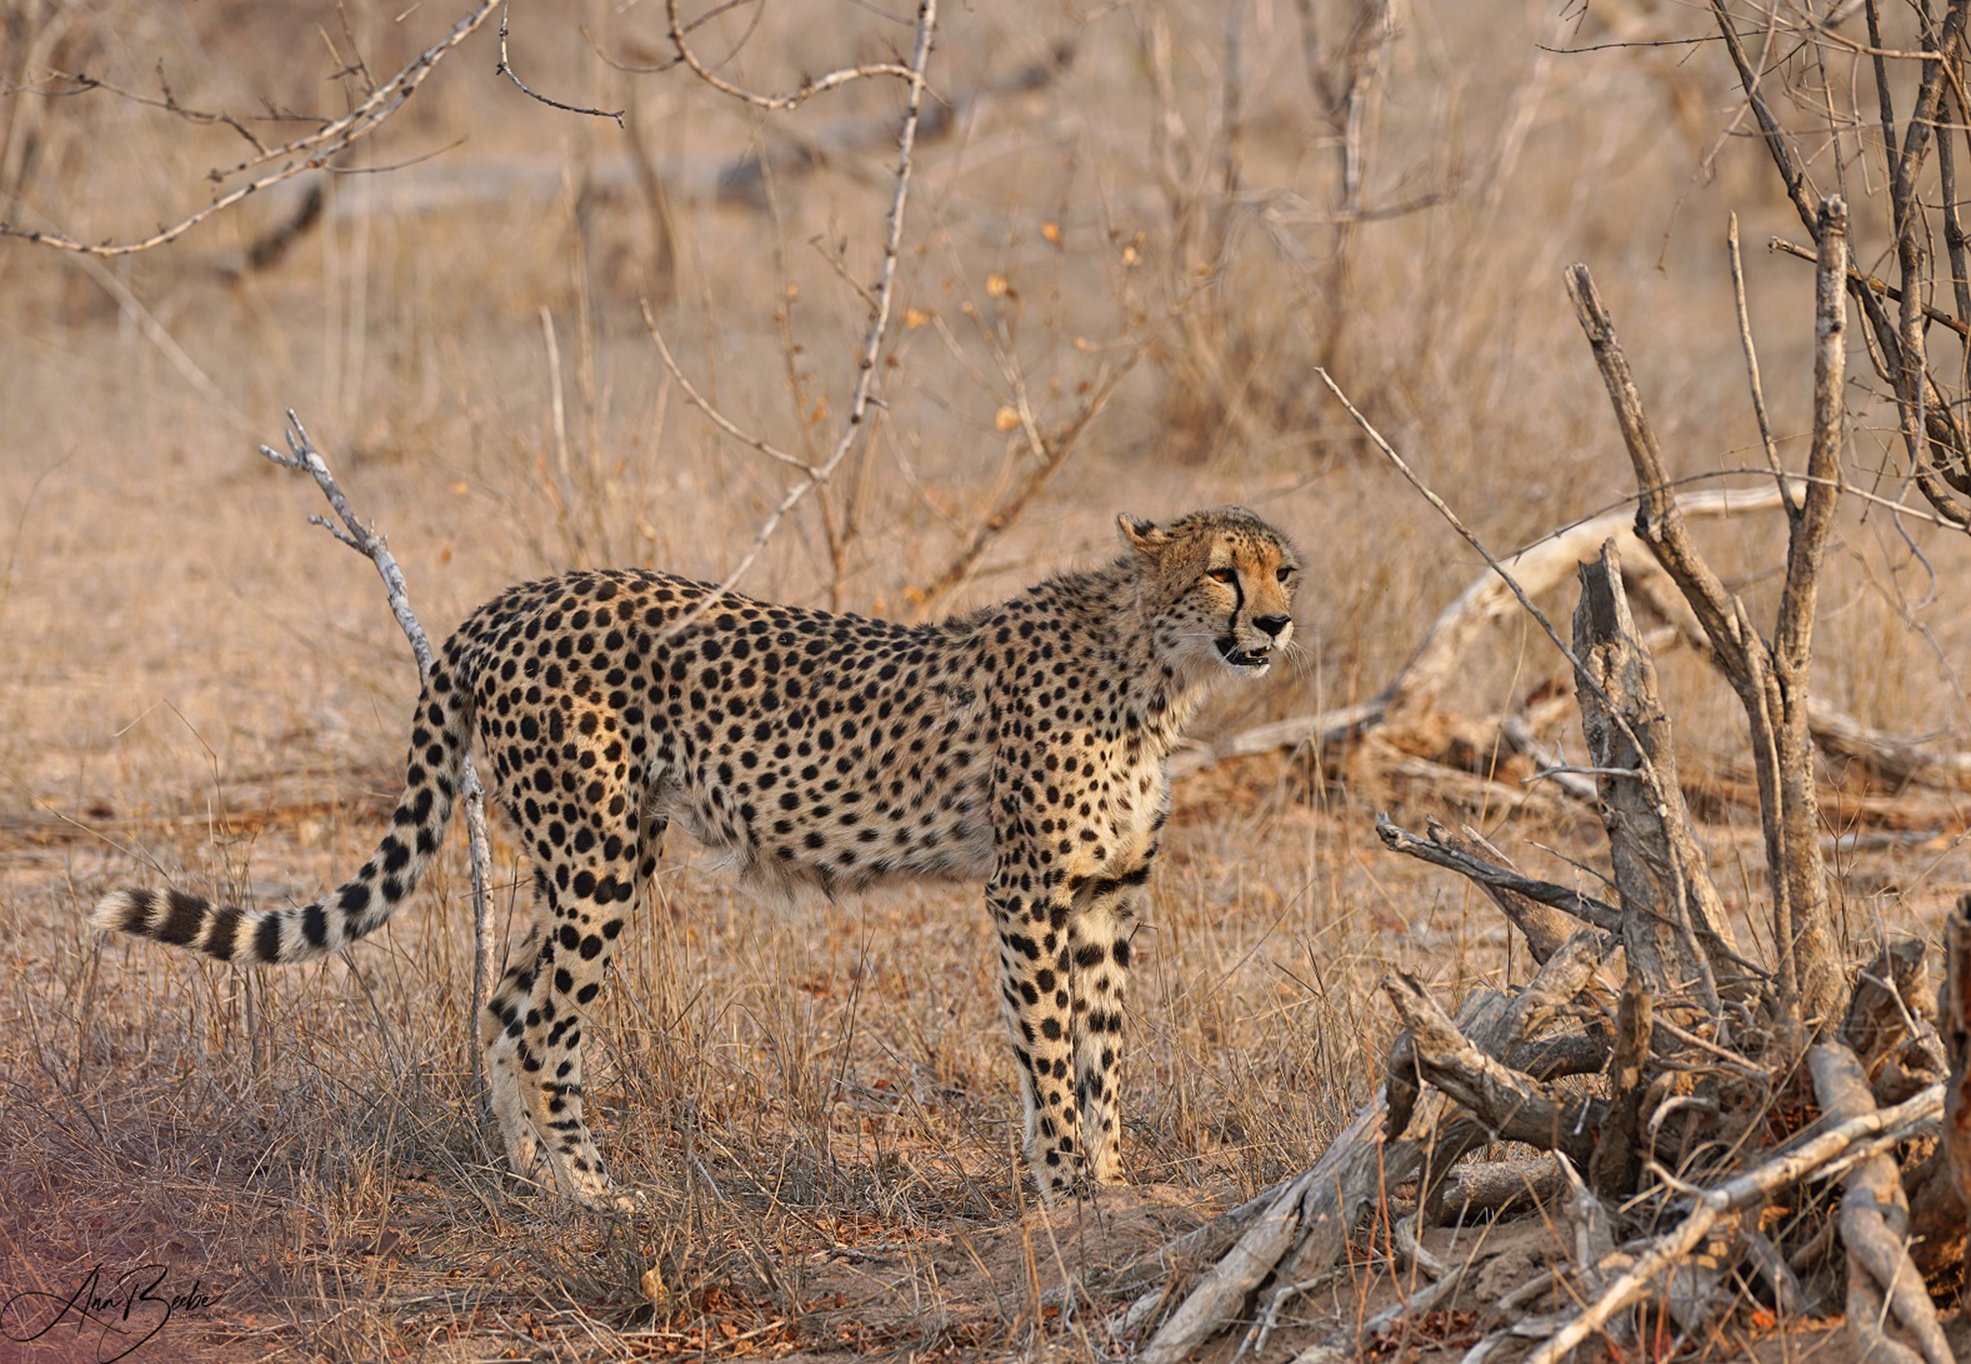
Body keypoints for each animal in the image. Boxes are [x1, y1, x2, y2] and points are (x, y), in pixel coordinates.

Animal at [92, 506, 1301, 1208]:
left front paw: (1109, 1175)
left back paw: (530, 1183)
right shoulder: (1029, 892)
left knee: (503, 1002)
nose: (1279, 624)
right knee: (548, 1025)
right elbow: (1051, 1046)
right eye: (1222, 574)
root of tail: (511, 599)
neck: (1153, 668)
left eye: (1284, 569)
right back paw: (596, 1195)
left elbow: (1107, 1047)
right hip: (597, 860)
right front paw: (1063, 1187)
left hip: (593, 852)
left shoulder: (1107, 894)